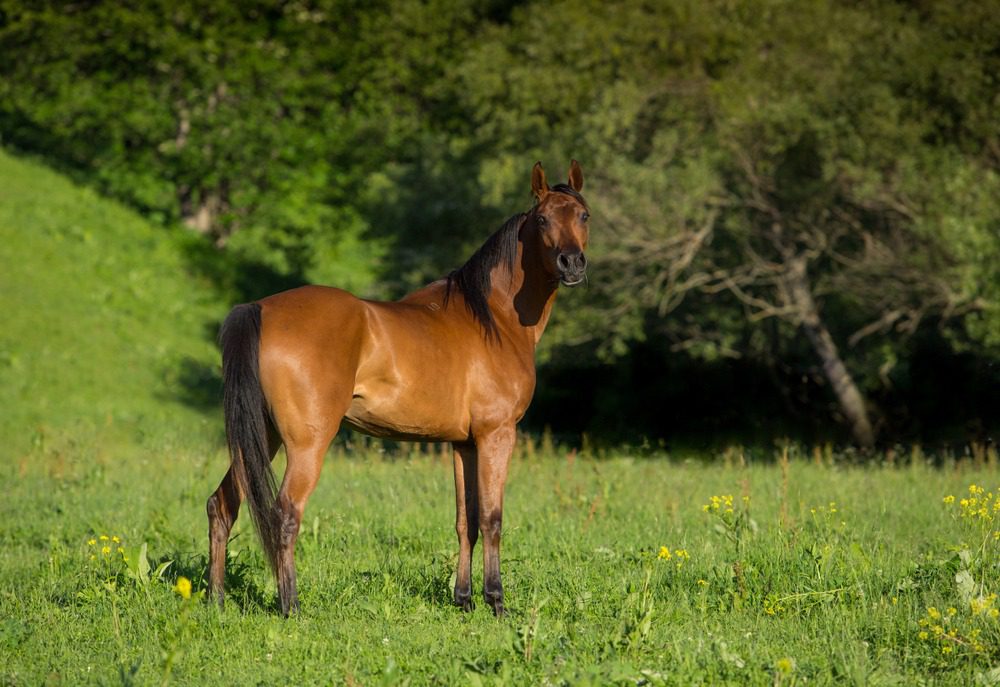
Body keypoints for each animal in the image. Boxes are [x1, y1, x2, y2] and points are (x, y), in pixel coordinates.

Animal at [207, 161, 590, 616]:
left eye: (584, 215)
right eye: (544, 219)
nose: (572, 264)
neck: (493, 319)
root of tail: (260, 309)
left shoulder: (464, 444)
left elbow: (466, 521)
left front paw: (464, 600)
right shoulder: (497, 435)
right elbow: (493, 519)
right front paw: (496, 601)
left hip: (259, 437)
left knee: (222, 505)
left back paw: (215, 600)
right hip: (306, 444)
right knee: (285, 514)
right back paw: (291, 607)